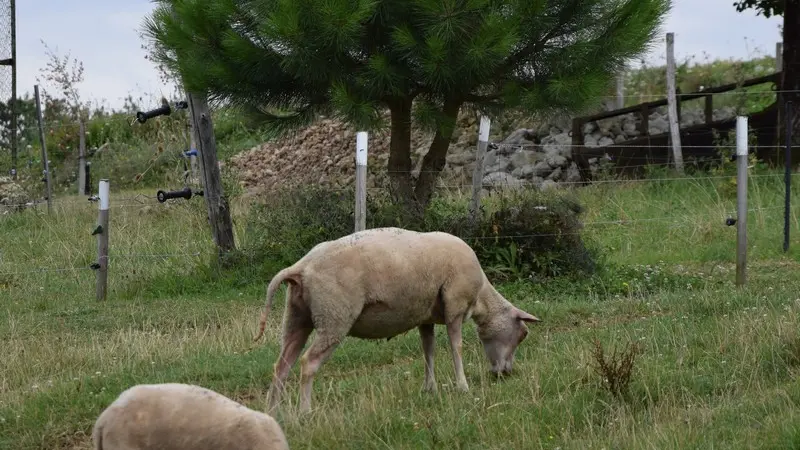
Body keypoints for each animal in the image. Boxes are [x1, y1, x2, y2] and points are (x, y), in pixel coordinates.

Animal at [255, 227, 544, 414]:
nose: (506, 373)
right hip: (334, 317)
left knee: (281, 366)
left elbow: (428, 351)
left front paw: (430, 388)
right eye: (522, 335)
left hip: (297, 317)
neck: (482, 296)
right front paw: (462, 386)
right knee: (308, 363)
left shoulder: (425, 317)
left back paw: (273, 412)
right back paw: (305, 412)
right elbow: (456, 347)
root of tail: (301, 267)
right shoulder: (455, 307)